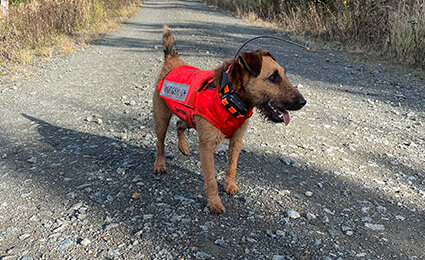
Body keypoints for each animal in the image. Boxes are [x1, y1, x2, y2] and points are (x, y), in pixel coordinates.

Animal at [152, 25, 304, 213]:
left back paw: (184, 147)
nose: (303, 102)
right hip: (162, 120)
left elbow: (232, 166)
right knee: (160, 143)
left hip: (189, 118)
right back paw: (159, 164)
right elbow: (210, 178)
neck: (229, 96)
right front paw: (214, 202)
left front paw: (230, 185)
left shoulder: (236, 141)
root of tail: (173, 61)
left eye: (283, 75)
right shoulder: (207, 146)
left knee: (180, 124)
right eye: (273, 77)